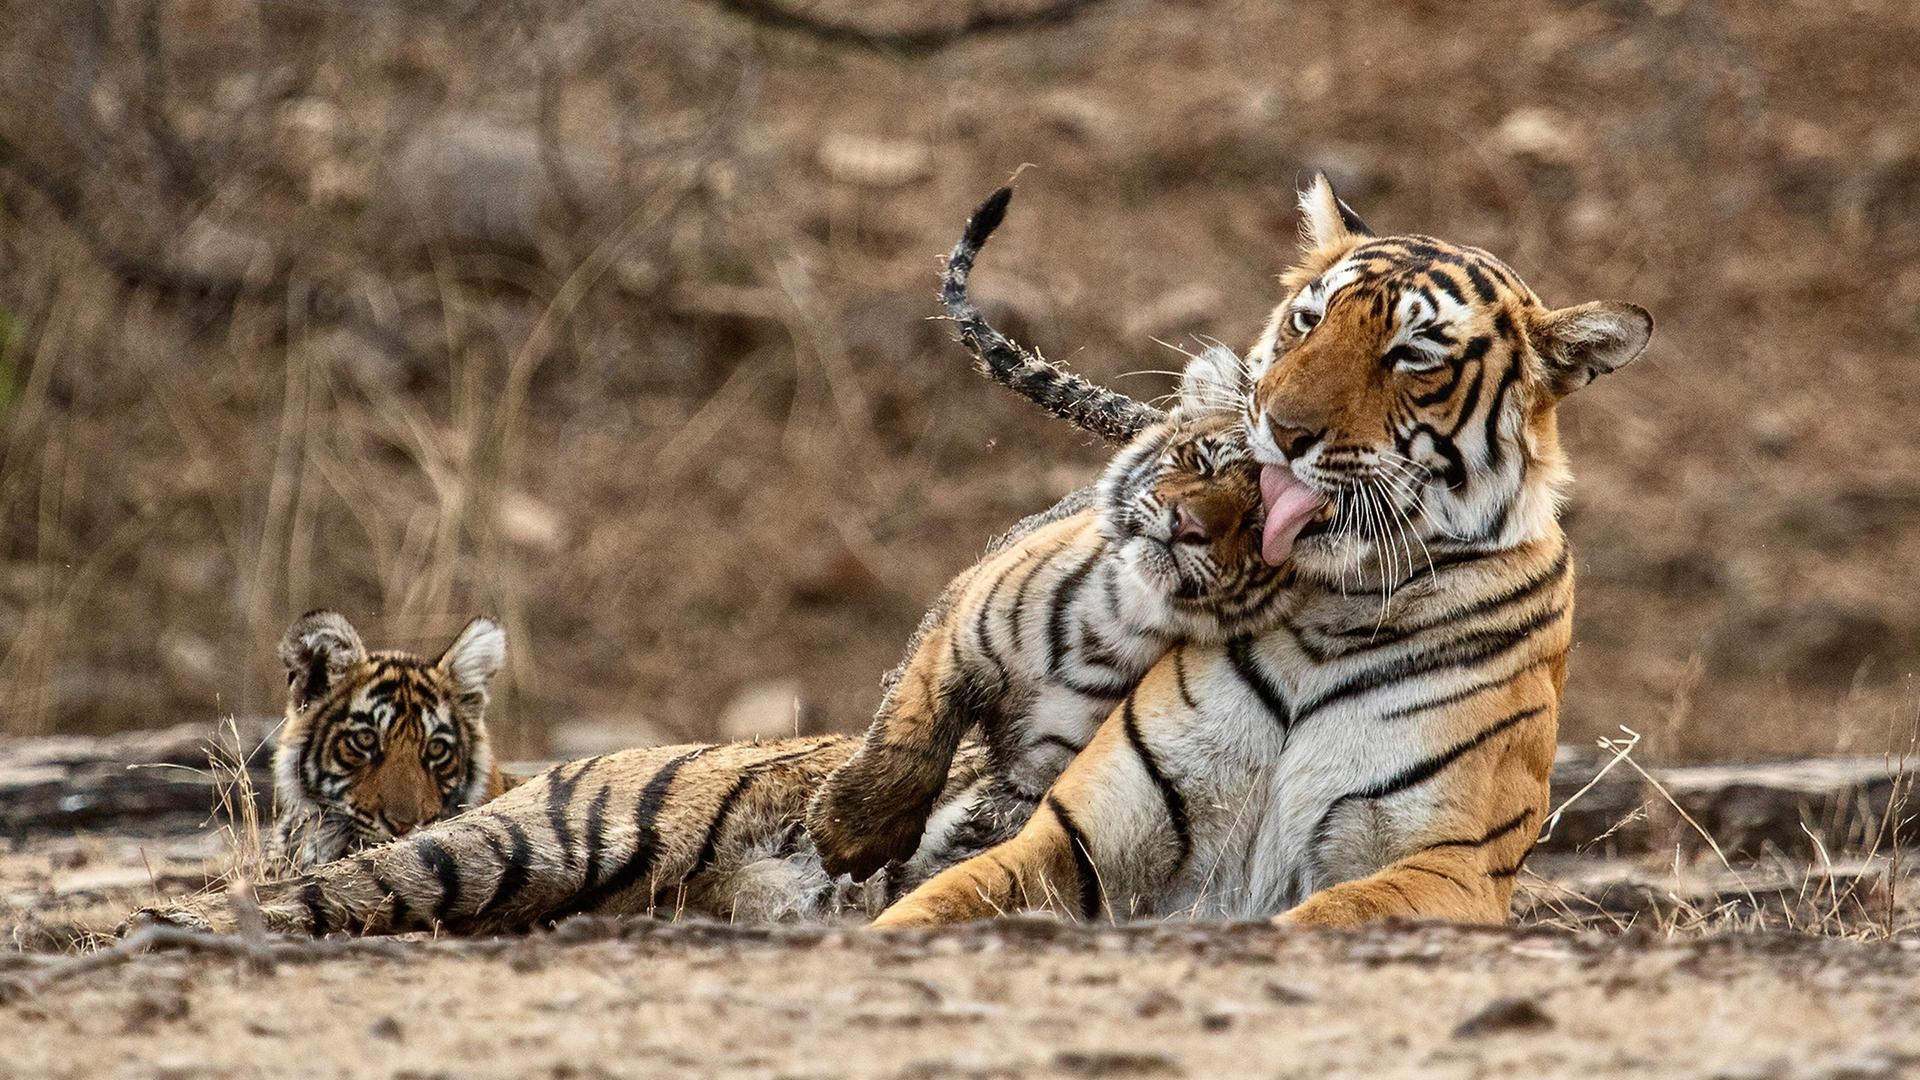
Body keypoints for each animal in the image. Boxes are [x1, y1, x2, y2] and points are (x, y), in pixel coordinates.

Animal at [872, 176, 1651, 929]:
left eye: (1413, 354)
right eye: (1309, 320)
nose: (1280, 427)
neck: (1335, 607)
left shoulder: (1453, 862)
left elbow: (1334, 912)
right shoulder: (1078, 831)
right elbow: (937, 903)